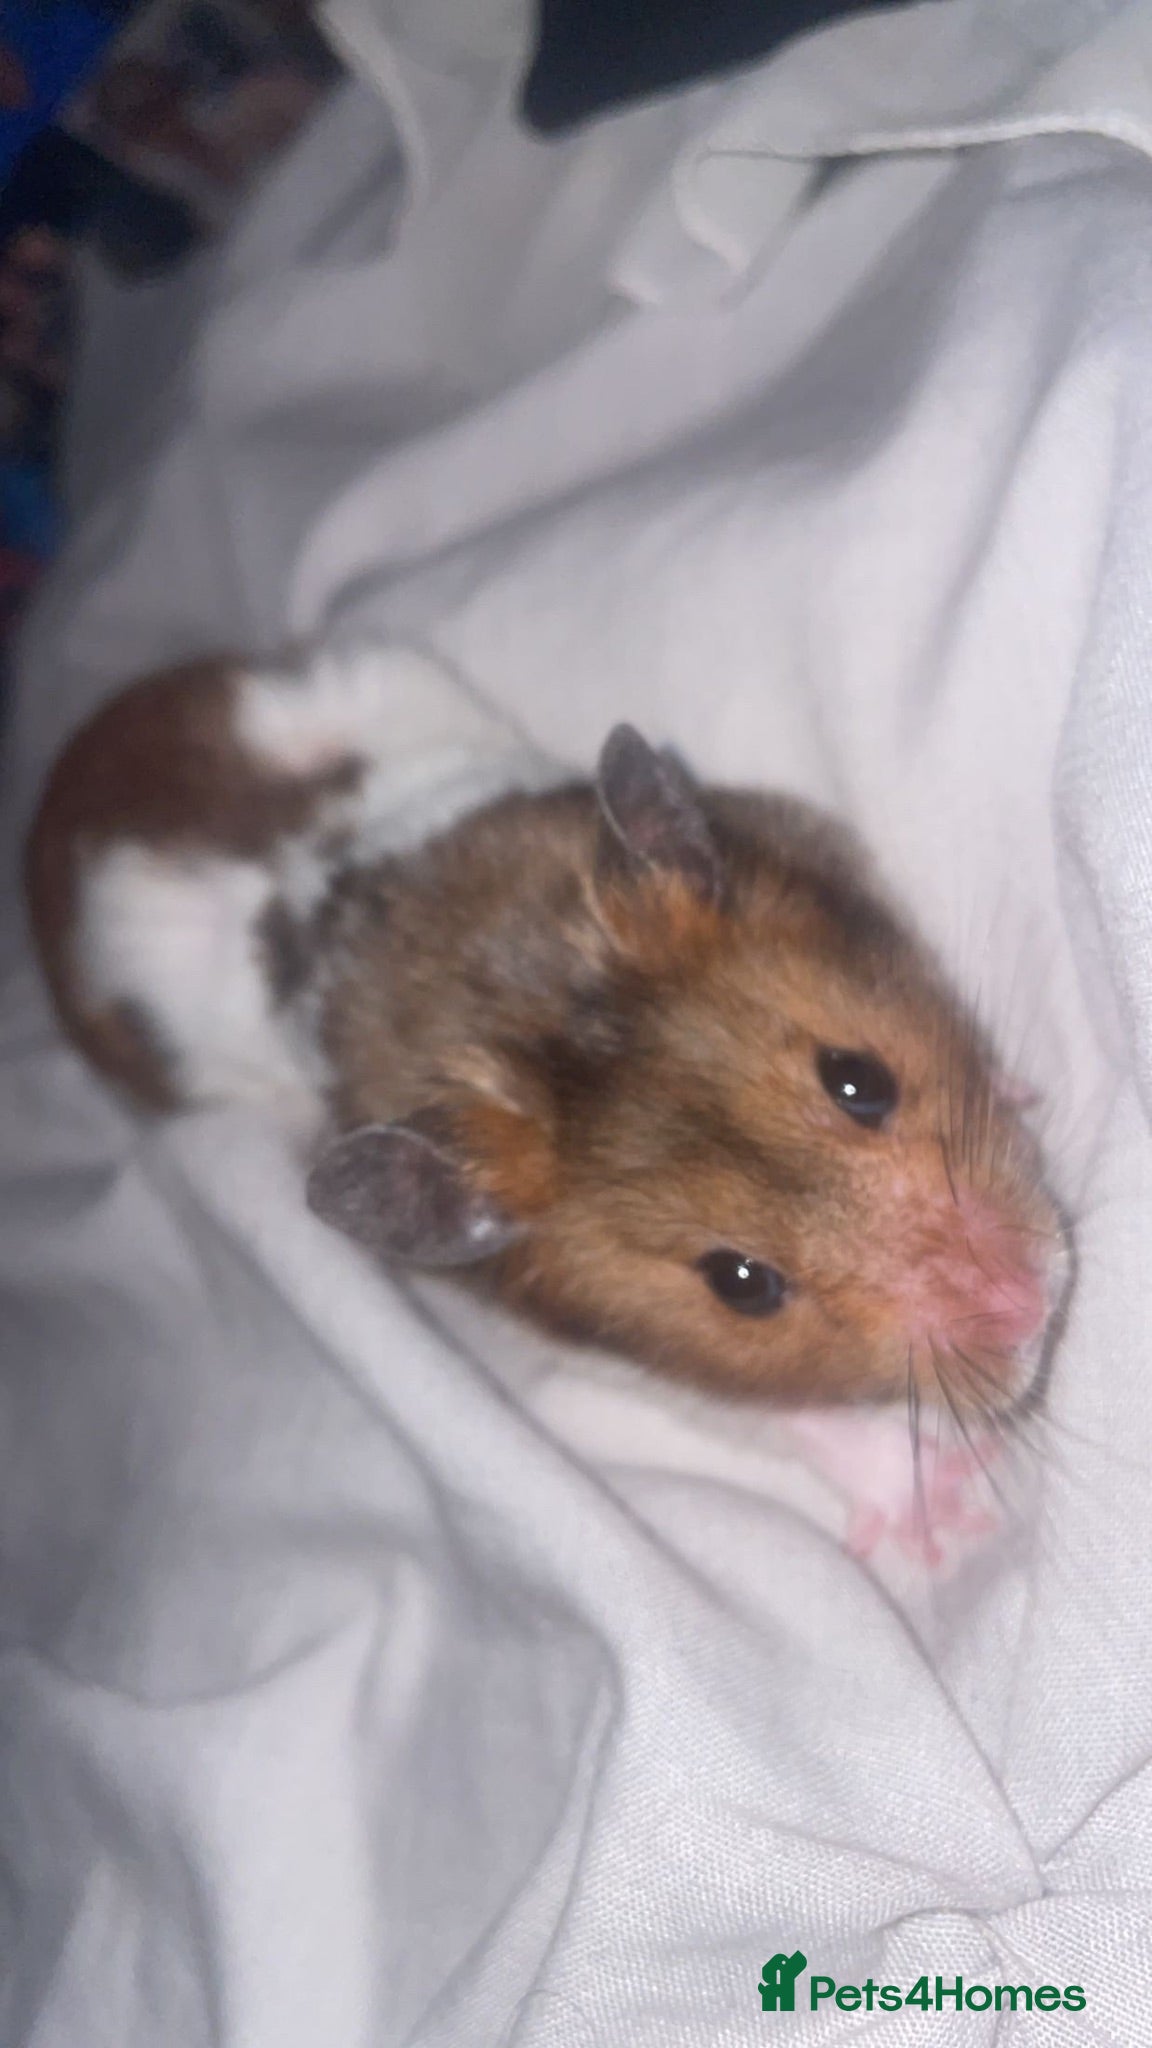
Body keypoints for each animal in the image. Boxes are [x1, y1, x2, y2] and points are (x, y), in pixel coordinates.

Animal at [24, 643, 1069, 1416]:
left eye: (861, 1080)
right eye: (741, 1284)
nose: (1032, 1300)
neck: (520, 1000)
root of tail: (57, 789)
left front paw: (1024, 1092)